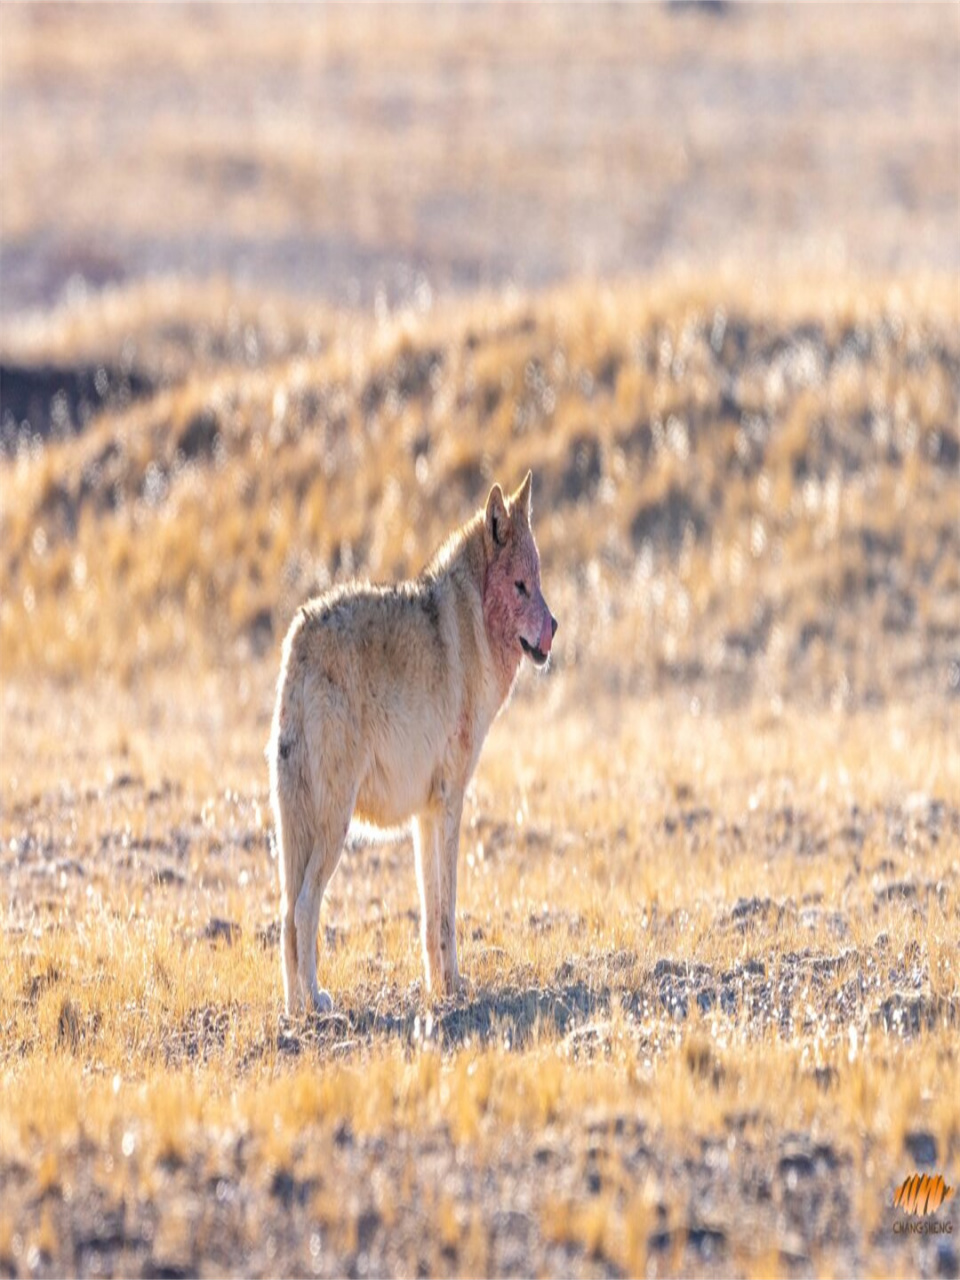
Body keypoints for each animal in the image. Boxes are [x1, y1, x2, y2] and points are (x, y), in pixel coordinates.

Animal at [268, 476, 555, 1013]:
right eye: (520, 586)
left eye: (539, 581)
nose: (554, 629)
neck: (473, 624)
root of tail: (298, 635)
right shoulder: (450, 800)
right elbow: (447, 911)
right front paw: (455, 988)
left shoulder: (425, 814)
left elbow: (427, 915)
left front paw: (438, 988)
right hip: (334, 826)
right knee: (304, 909)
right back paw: (316, 1002)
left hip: (296, 828)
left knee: (285, 917)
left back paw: (295, 1009)